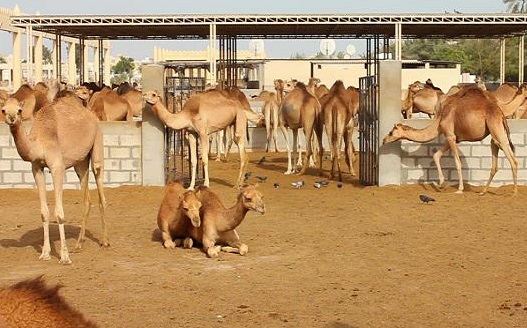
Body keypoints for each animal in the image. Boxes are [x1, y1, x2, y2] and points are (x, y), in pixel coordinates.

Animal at [0, 95, 108, 264]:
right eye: (3, 110)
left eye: (20, 110)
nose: (11, 118)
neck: (39, 143)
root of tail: (91, 114)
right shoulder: (36, 168)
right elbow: (44, 212)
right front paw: (45, 253)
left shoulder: (57, 167)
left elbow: (59, 213)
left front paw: (64, 257)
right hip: (80, 162)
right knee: (86, 198)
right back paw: (78, 244)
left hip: (97, 140)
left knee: (100, 184)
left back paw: (105, 241)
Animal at [384, 85, 520, 195]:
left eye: (391, 132)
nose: (384, 140)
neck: (440, 118)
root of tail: (501, 114)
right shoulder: (454, 137)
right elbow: (436, 155)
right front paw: (440, 184)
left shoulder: (450, 135)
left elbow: (457, 162)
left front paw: (459, 189)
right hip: (494, 133)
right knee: (495, 156)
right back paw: (483, 191)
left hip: (495, 127)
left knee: (512, 159)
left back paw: (514, 191)